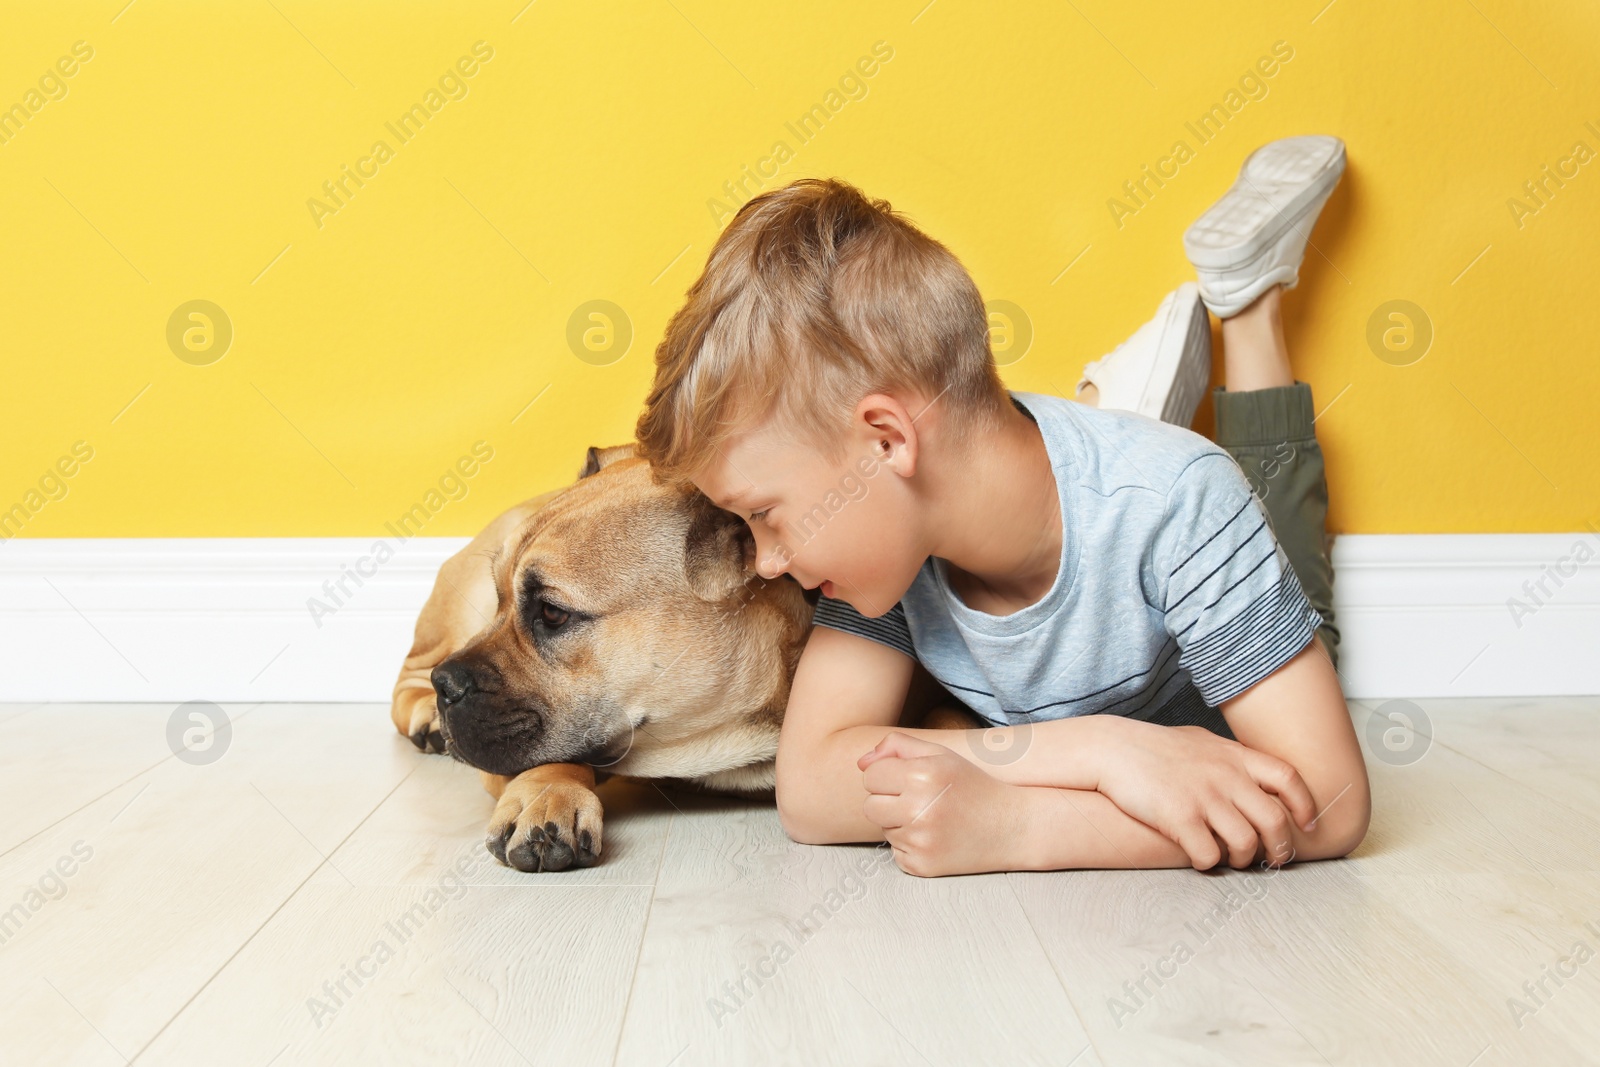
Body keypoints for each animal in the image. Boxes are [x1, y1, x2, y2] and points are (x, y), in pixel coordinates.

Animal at [390, 447, 972, 870]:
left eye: (552, 614)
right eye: (500, 601)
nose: (448, 686)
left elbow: (951, 719)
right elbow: (546, 754)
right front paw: (547, 794)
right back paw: (425, 715)